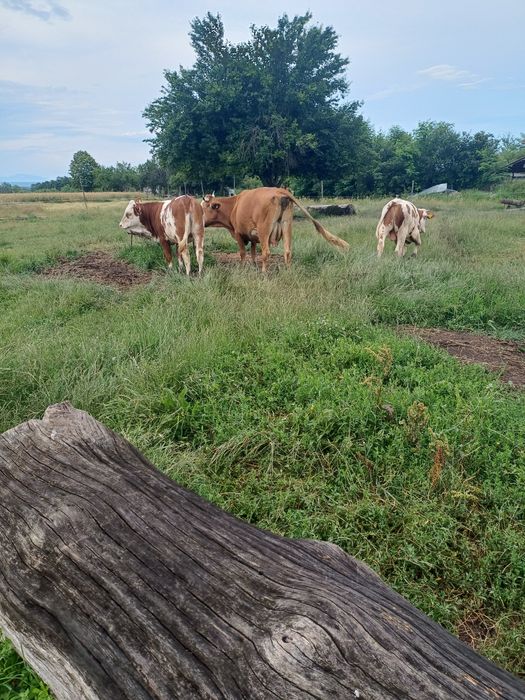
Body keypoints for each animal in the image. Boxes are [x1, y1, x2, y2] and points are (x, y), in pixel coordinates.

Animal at [201, 187, 349, 272]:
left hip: (264, 229)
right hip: (287, 225)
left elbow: (243, 253)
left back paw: (264, 274)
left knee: (266, 253)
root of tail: (279, 190)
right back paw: (288, 272)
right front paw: (253, 266)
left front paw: (243, 268)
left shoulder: (239, 234)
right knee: (287, 251)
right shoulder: (253, 237)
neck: (235, 205)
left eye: (204, 207)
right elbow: (253, 252)